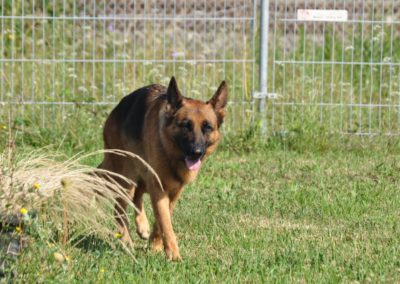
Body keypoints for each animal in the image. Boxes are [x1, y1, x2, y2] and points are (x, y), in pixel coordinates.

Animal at [98, 76, 227, 260]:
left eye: (207, 127)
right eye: (186, 125)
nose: (196, 152)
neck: (171, 154)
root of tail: (117, 109)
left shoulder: (174, 191)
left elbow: (162, 219)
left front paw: (155, 245)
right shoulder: (158, 188)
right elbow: (164, 221)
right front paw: (173, 254)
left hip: (139, 178)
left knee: (136, 196)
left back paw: (142, 227)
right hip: (127, 178)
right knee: (119, 208)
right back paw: (126, 241)